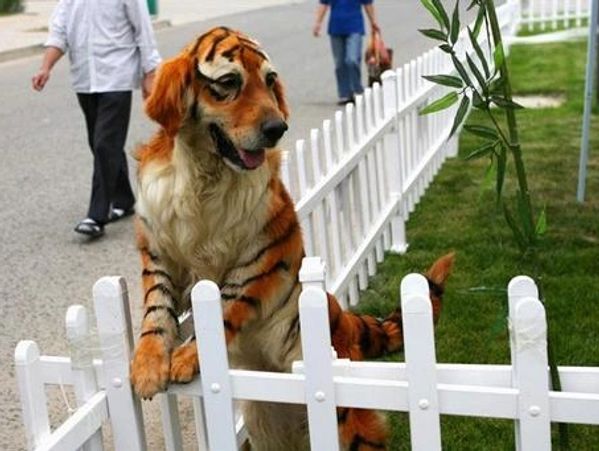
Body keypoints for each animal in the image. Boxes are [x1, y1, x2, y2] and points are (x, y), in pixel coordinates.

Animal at [129, 28, 452, 451]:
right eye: (229, 82)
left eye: (269, 81)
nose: (276, 128)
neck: (206, 177)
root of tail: (341, 316)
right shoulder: (159, 252)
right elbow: (155, 311)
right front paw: (147, 365)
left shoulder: (261, 255)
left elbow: (224, 305)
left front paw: (187, 356)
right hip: (264, 419)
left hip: (345, 418)